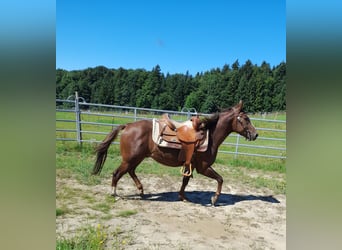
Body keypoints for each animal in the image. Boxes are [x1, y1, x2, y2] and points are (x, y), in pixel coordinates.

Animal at [92, 99, 258, 205]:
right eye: (246, 118)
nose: (255, 134)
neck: (210, 136)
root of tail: (127, 126)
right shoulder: (203, 167)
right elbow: (220, 179)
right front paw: (214, 199)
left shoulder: (190, 165)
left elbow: (185, 181)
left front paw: (183, 197)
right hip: (130, 159)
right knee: (117, 173)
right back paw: (115, 194)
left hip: (136, 158)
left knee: (130, 171)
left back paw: (141, 190)